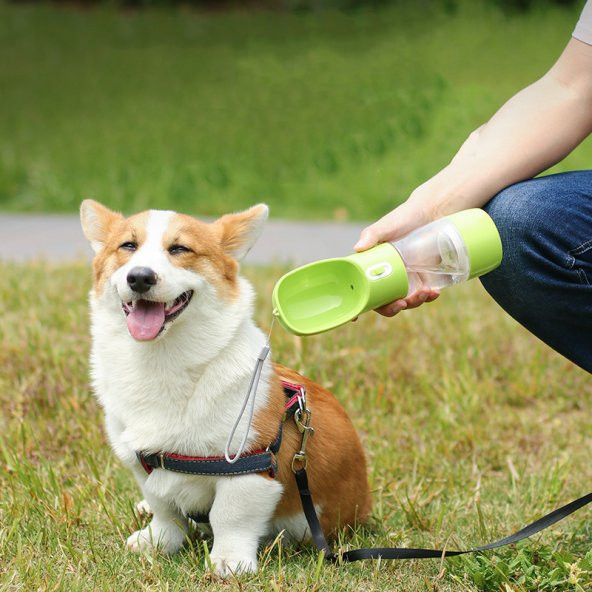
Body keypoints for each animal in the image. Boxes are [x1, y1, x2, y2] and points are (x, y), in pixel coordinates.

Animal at [80, 200, 370, 572]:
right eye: (128, 246)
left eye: (180, 249)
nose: (140, 277)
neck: (162, 361)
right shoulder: (142, 465)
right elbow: (164, 509)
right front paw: (157, 541)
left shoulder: (248, 469)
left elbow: (229, 517)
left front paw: (229, 563)